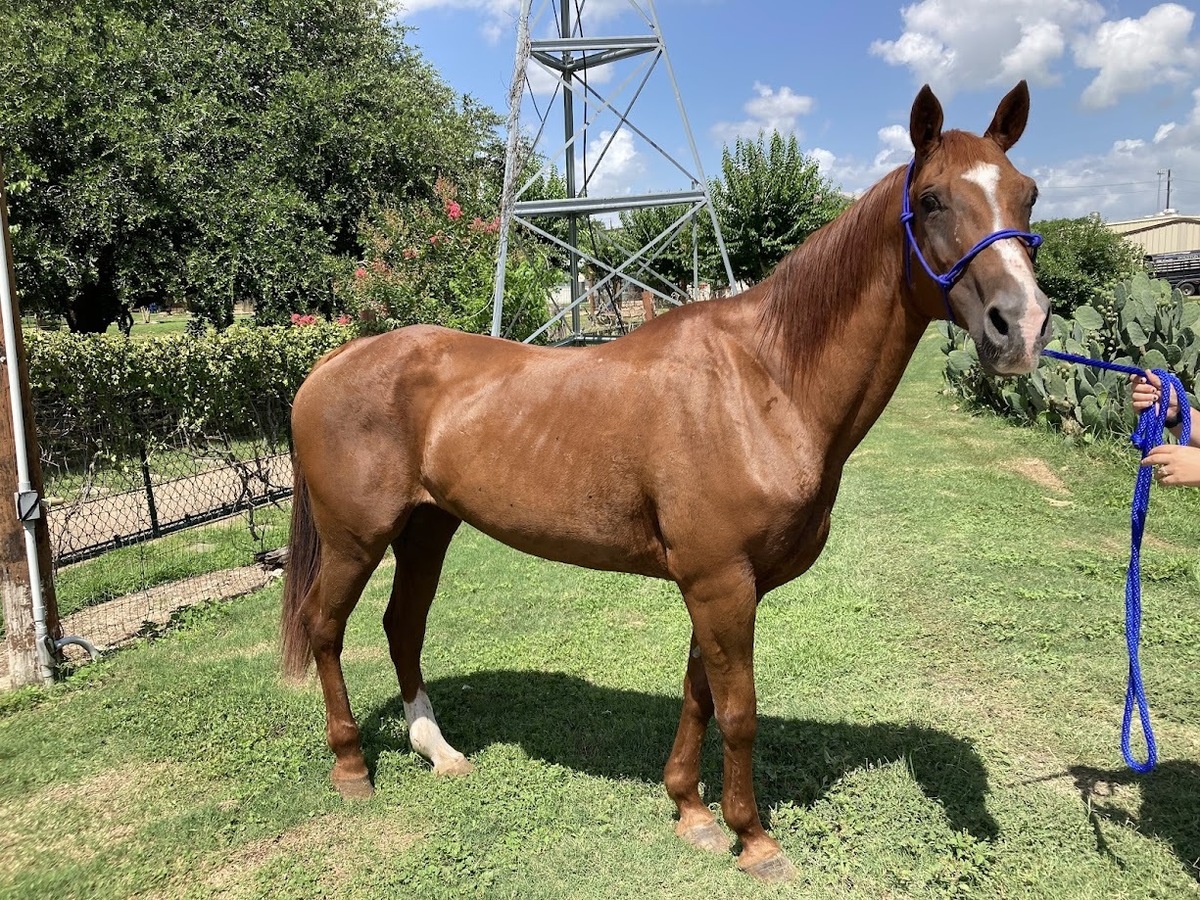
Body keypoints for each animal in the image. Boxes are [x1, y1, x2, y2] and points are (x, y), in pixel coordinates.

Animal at [280, 81, 1050, 882]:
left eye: (1027, 194)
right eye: (931, 200)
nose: (1021, 328)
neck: (765, 383)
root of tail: (330, 363)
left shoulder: (724, 584)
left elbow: (698, 694)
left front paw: (691, 810)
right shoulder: (720, 582)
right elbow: (738, 710)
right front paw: (754, 839)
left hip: (427, 529)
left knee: (402, 626)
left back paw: (438, 750)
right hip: (356, 539)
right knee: (325, 627)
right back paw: (352, 768)